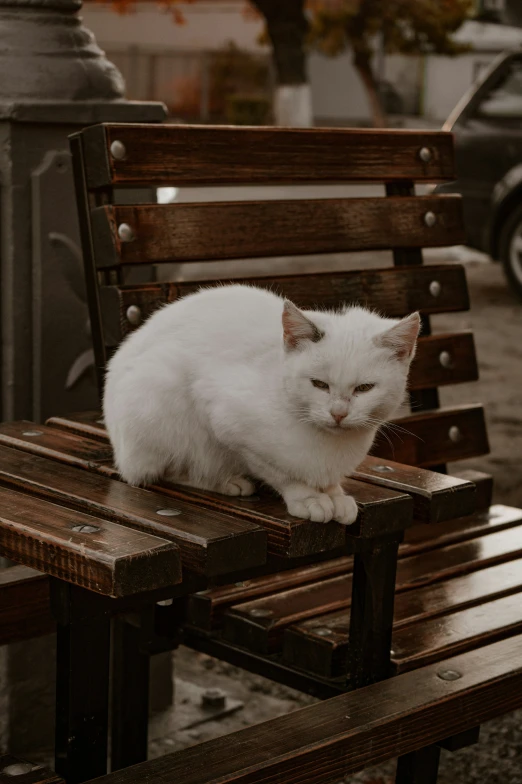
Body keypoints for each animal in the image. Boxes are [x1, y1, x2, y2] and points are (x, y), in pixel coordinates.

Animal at [102, 284, 418, 524]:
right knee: (161, 471)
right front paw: (308, 497)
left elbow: (327, 481)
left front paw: (335, 495)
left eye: (364, 388)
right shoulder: (228, 422)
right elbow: (279, 472)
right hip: (159, 396)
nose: (338, 413)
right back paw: (224, 481)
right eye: (319, 384)